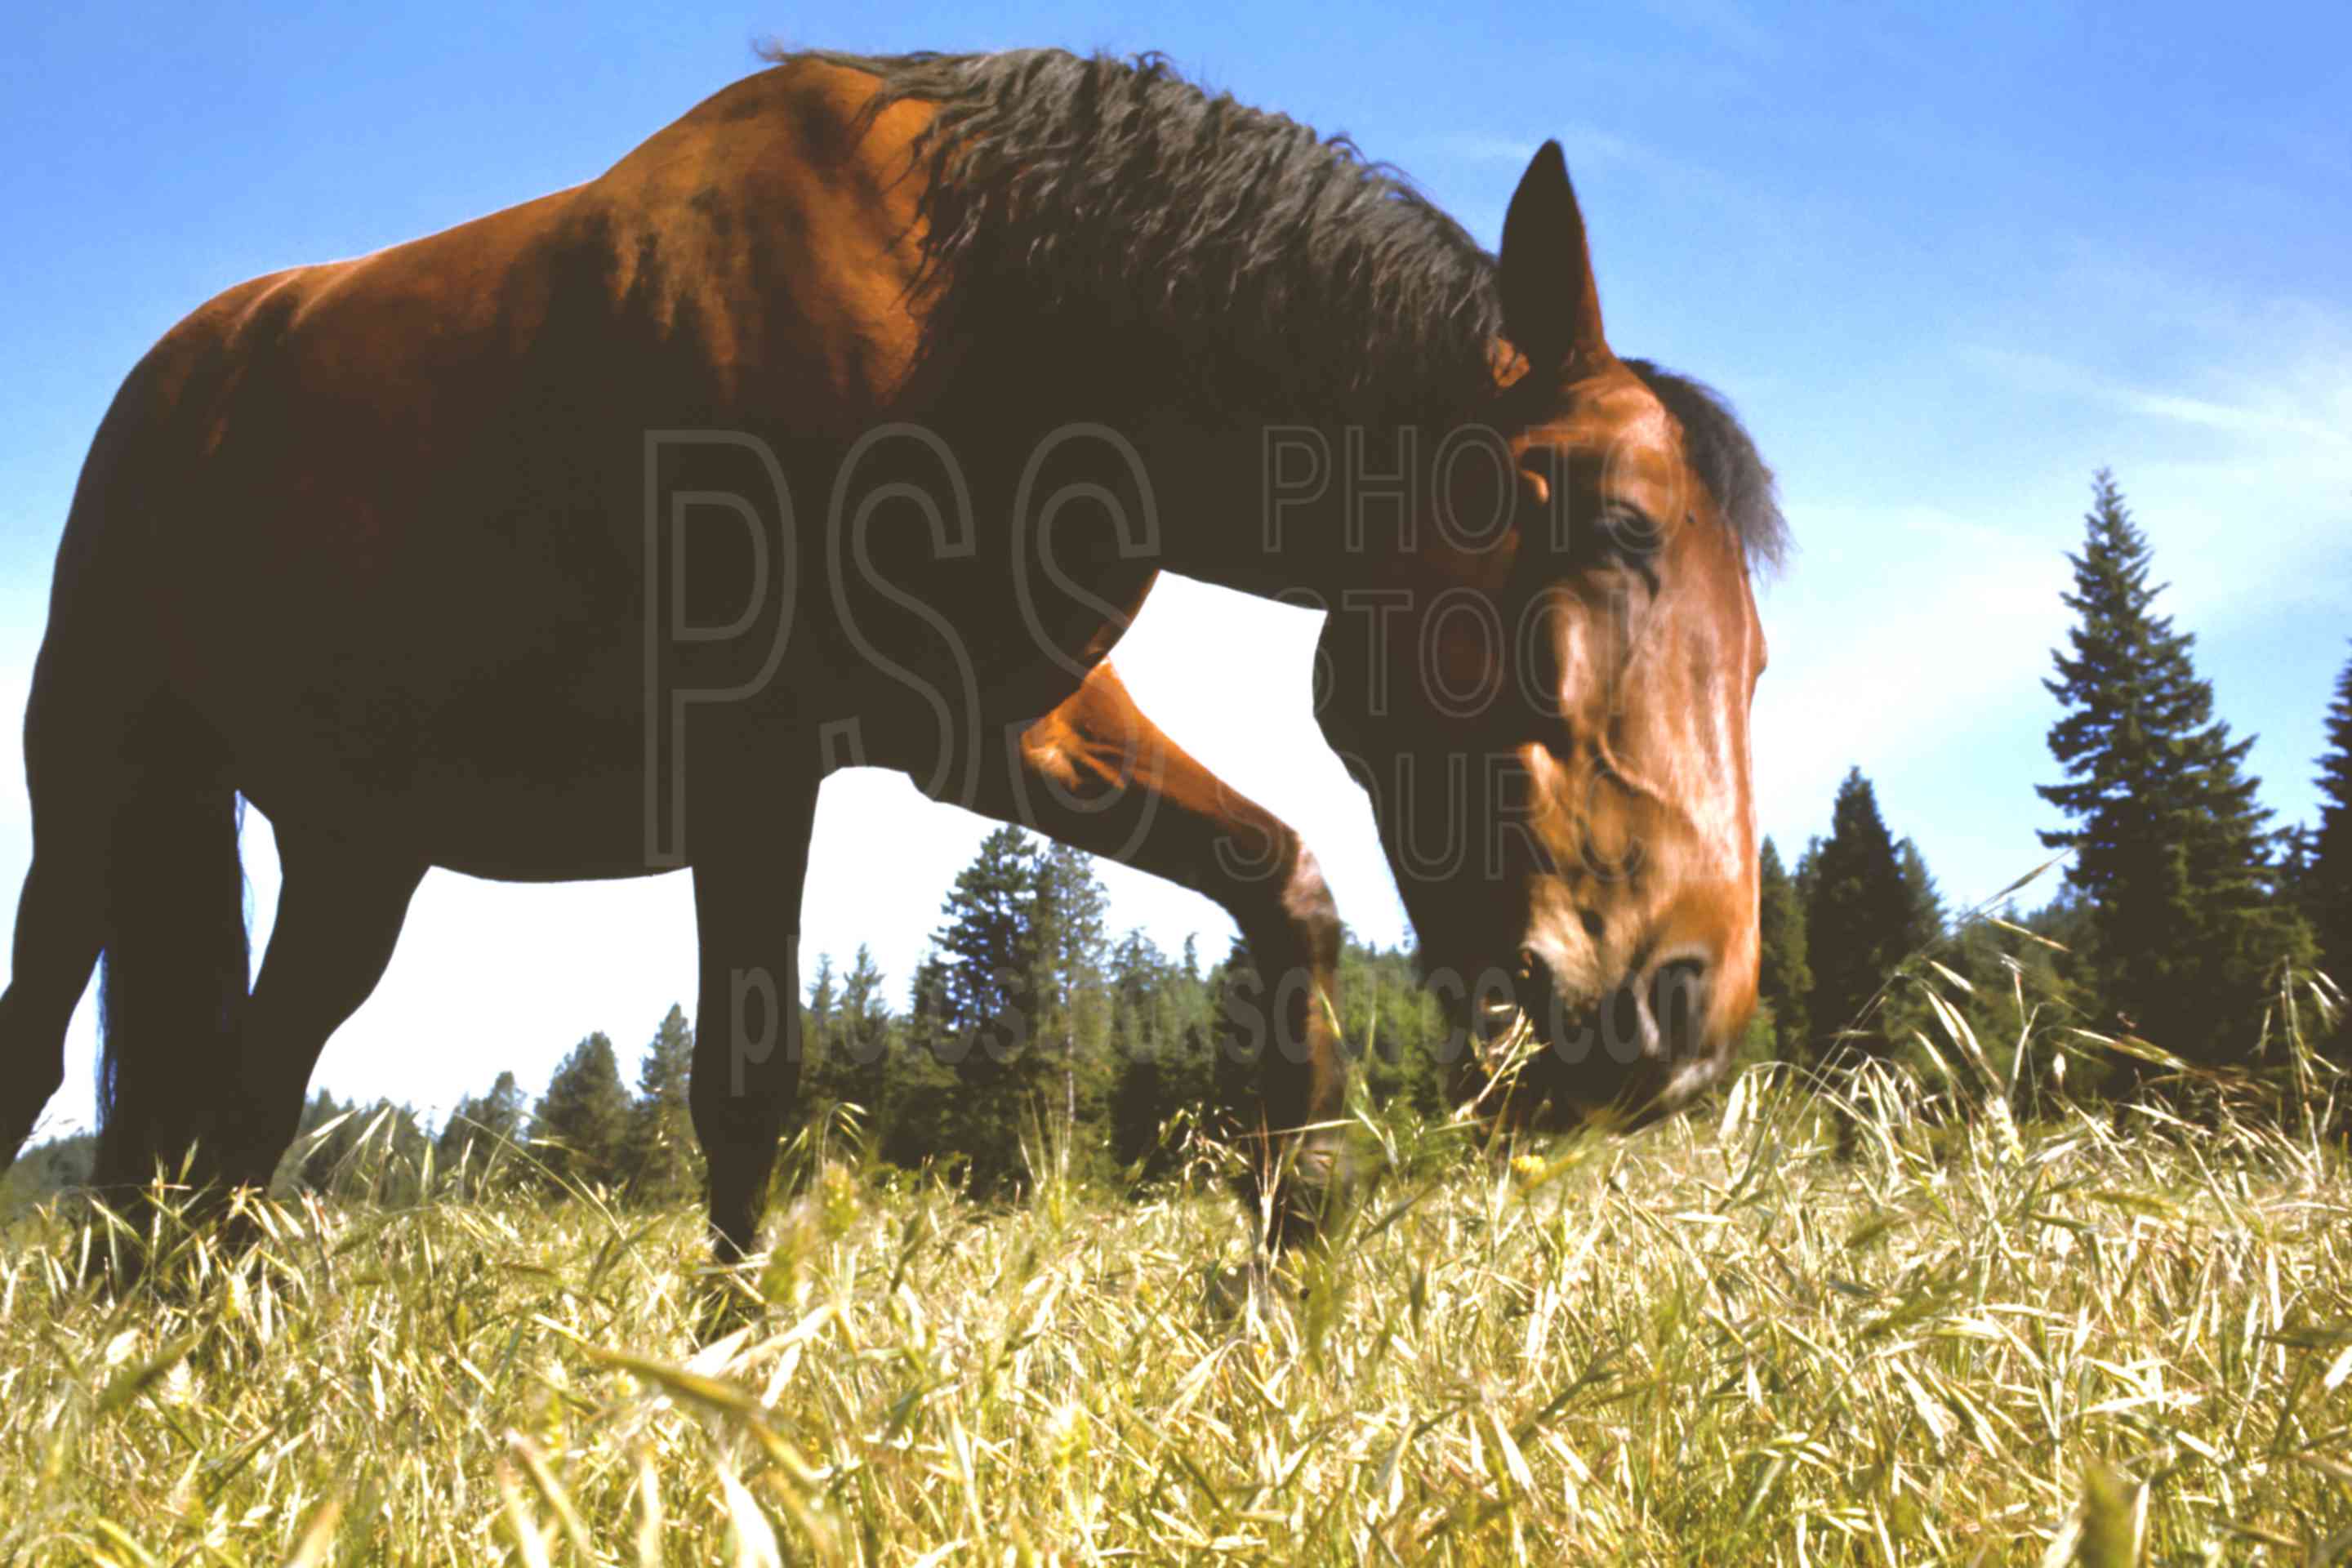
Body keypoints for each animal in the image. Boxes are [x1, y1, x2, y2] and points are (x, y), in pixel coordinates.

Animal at [0, 49, 1778, 1259]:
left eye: (1757, 655)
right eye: (1615, 530)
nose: (1690, 1002)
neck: (996, 308)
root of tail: (181, 372)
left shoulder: (1012, 733)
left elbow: (1285, 891)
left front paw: (1294, 1266)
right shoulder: (749, 761)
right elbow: (745, 1092)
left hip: (356, 855)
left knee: (247, 1100)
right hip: (96, 790)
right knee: (48, 1054)